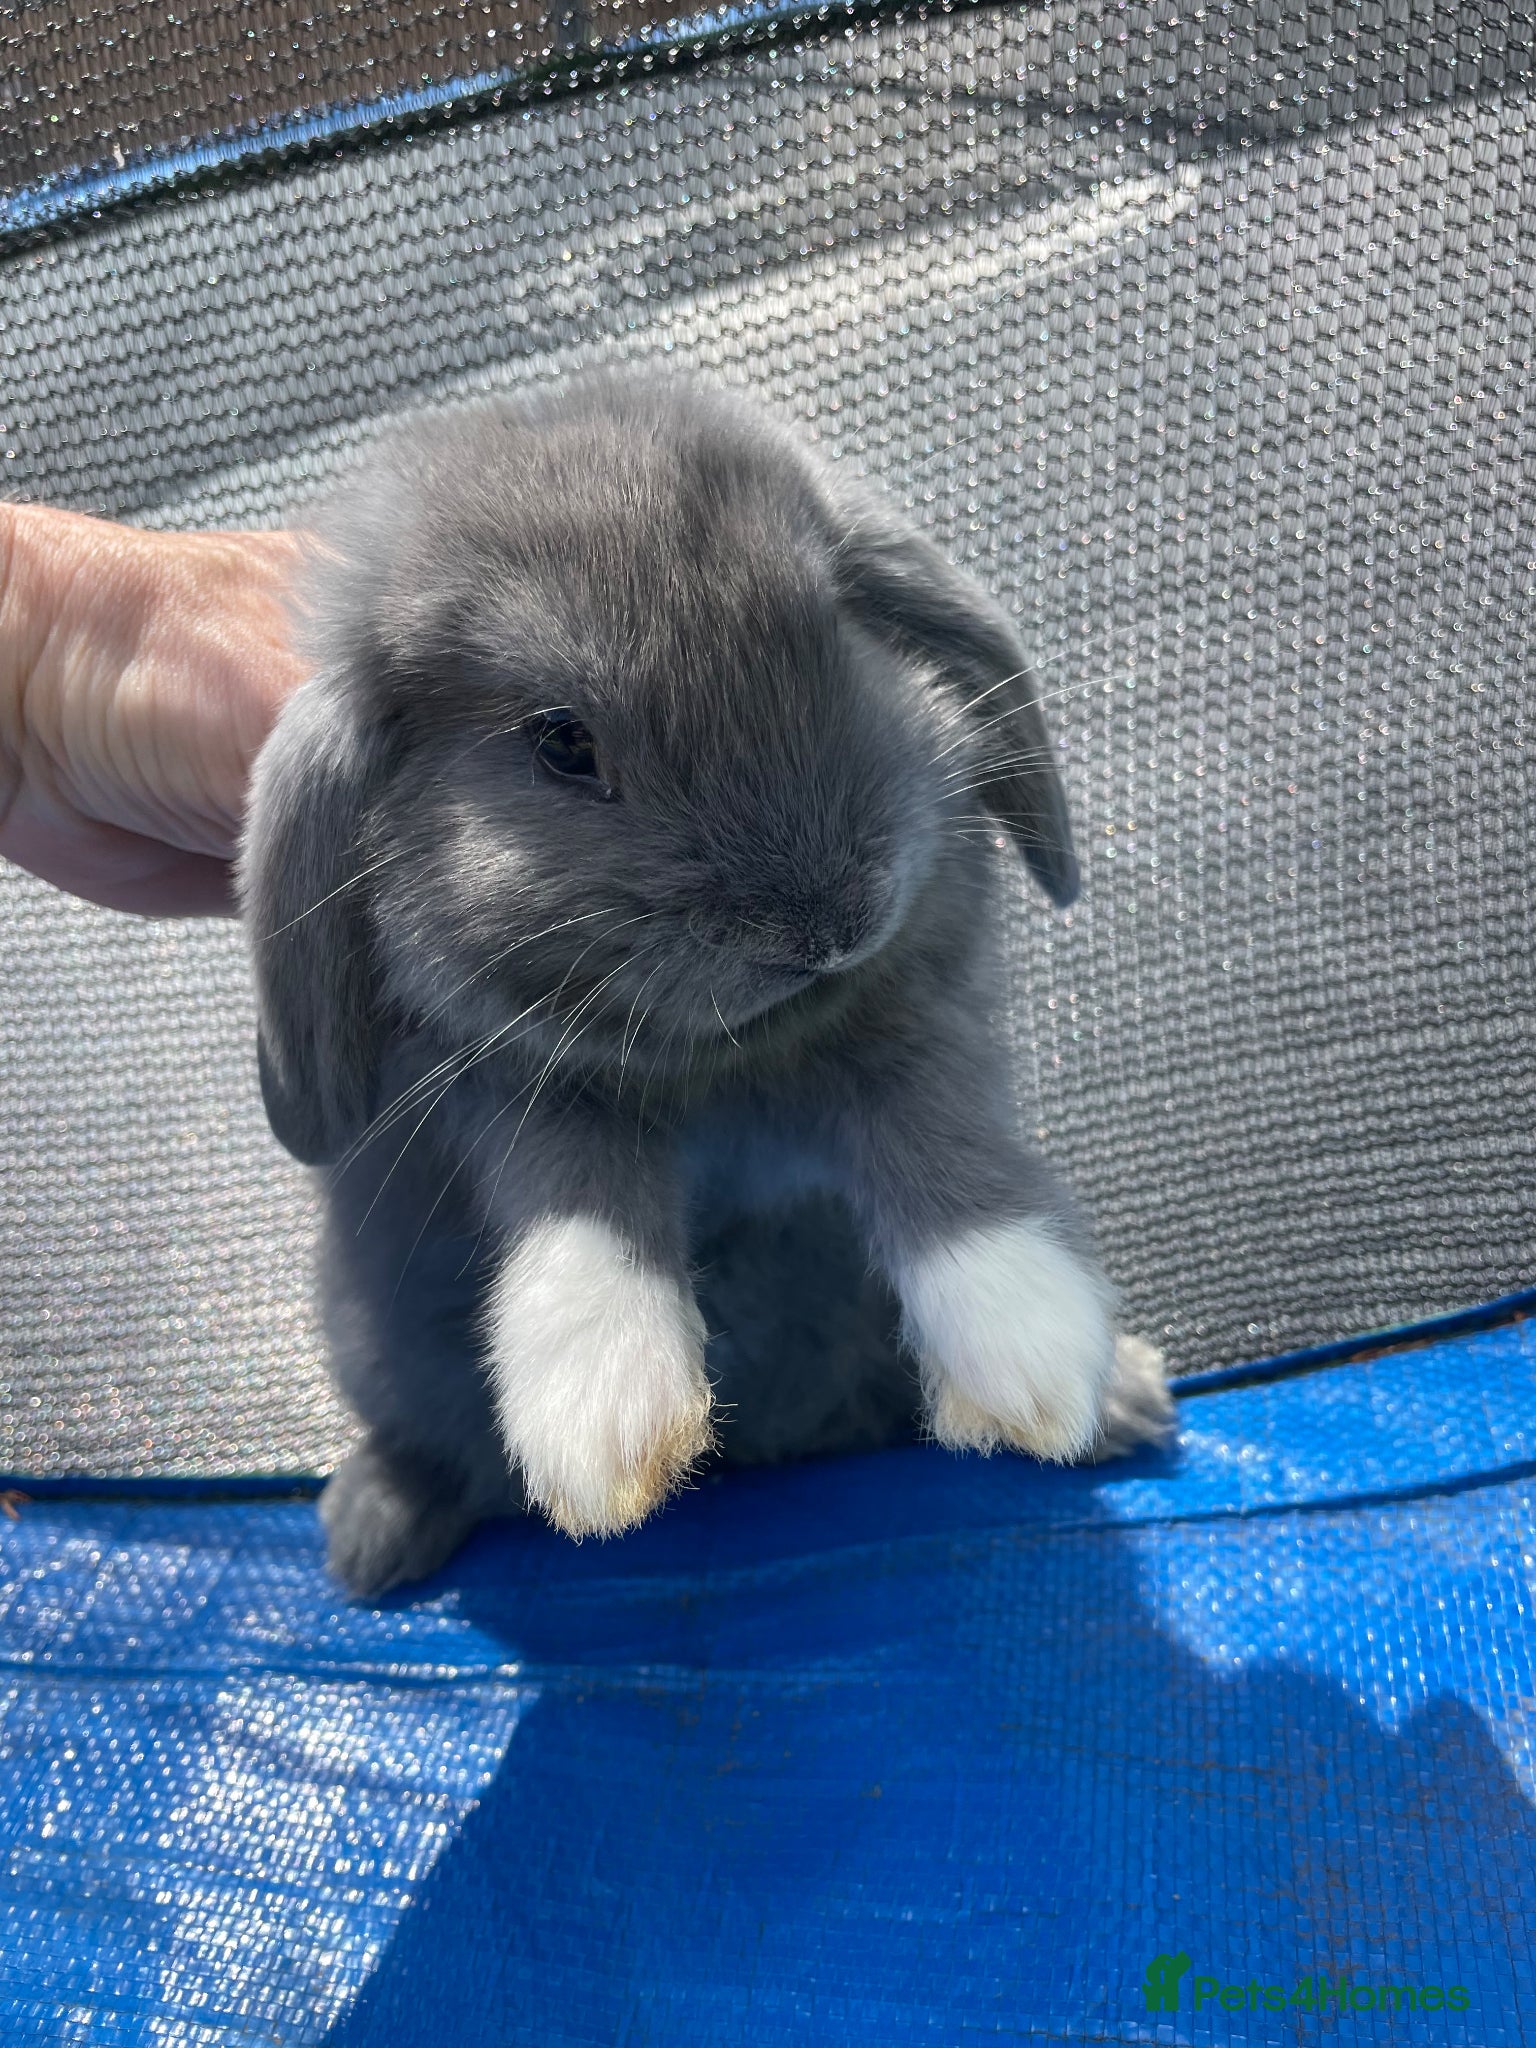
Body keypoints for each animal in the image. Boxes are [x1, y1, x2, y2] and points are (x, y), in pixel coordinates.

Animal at [239, 371, 1174, 1597]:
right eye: (559, 741)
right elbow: (581, 1192)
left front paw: (1036, 1348)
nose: (830, 924)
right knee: (431, 1447)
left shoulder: (909, 1030)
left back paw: (1130, 1403)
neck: (732, 1056)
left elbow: (942, 1139)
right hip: (377, 1347)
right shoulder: (514, 1086)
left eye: (836, 628)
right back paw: (372, 1532)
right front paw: (604, 1414)